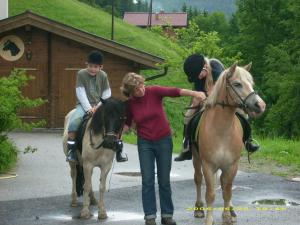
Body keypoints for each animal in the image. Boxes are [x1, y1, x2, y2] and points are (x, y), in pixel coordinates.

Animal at [192, 62, 264, 225]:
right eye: (237, 84)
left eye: (251, 84)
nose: (261, 105)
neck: (222, 130)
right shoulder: (208, 165)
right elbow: (210, 194)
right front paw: (209, 219)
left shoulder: (232, 165)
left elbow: (227, 191)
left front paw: (227, 217)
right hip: (196, 159)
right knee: (198, 180)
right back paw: (199, 209)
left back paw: (231, 211)